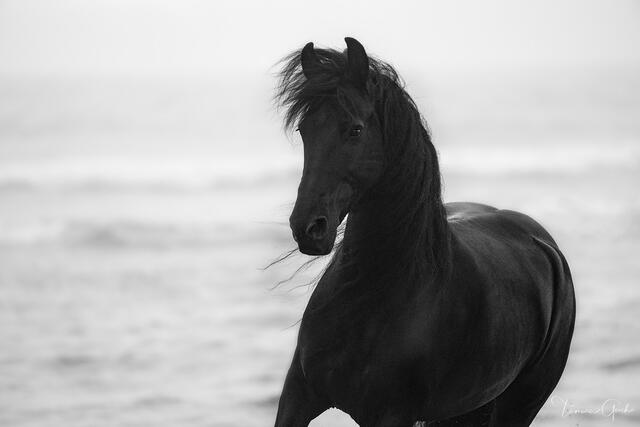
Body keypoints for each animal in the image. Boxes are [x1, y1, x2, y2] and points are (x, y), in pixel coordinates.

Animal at [270, 38, 576, 426]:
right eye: (303, 130)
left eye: (354, 129)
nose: (308, 228)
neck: (368, 293)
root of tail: (544, 244)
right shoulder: (297, 398)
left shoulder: (392, 414)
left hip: (519, 404)